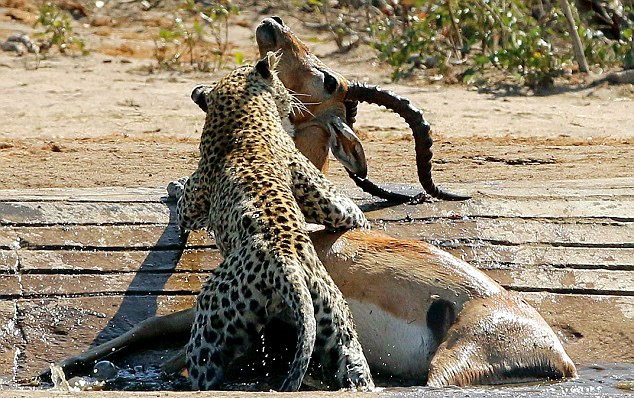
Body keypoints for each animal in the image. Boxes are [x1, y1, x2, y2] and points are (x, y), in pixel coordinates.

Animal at [178, 50, 372, 392]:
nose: (292, 102)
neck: (245, 110)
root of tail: (289, 268)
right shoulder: (323, 194)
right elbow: (350, 211)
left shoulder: (193, 200)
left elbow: (180, 209)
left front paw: (171, 187)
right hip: (337, 326)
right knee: (356, 369)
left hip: (209, 326)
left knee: (205, 374)